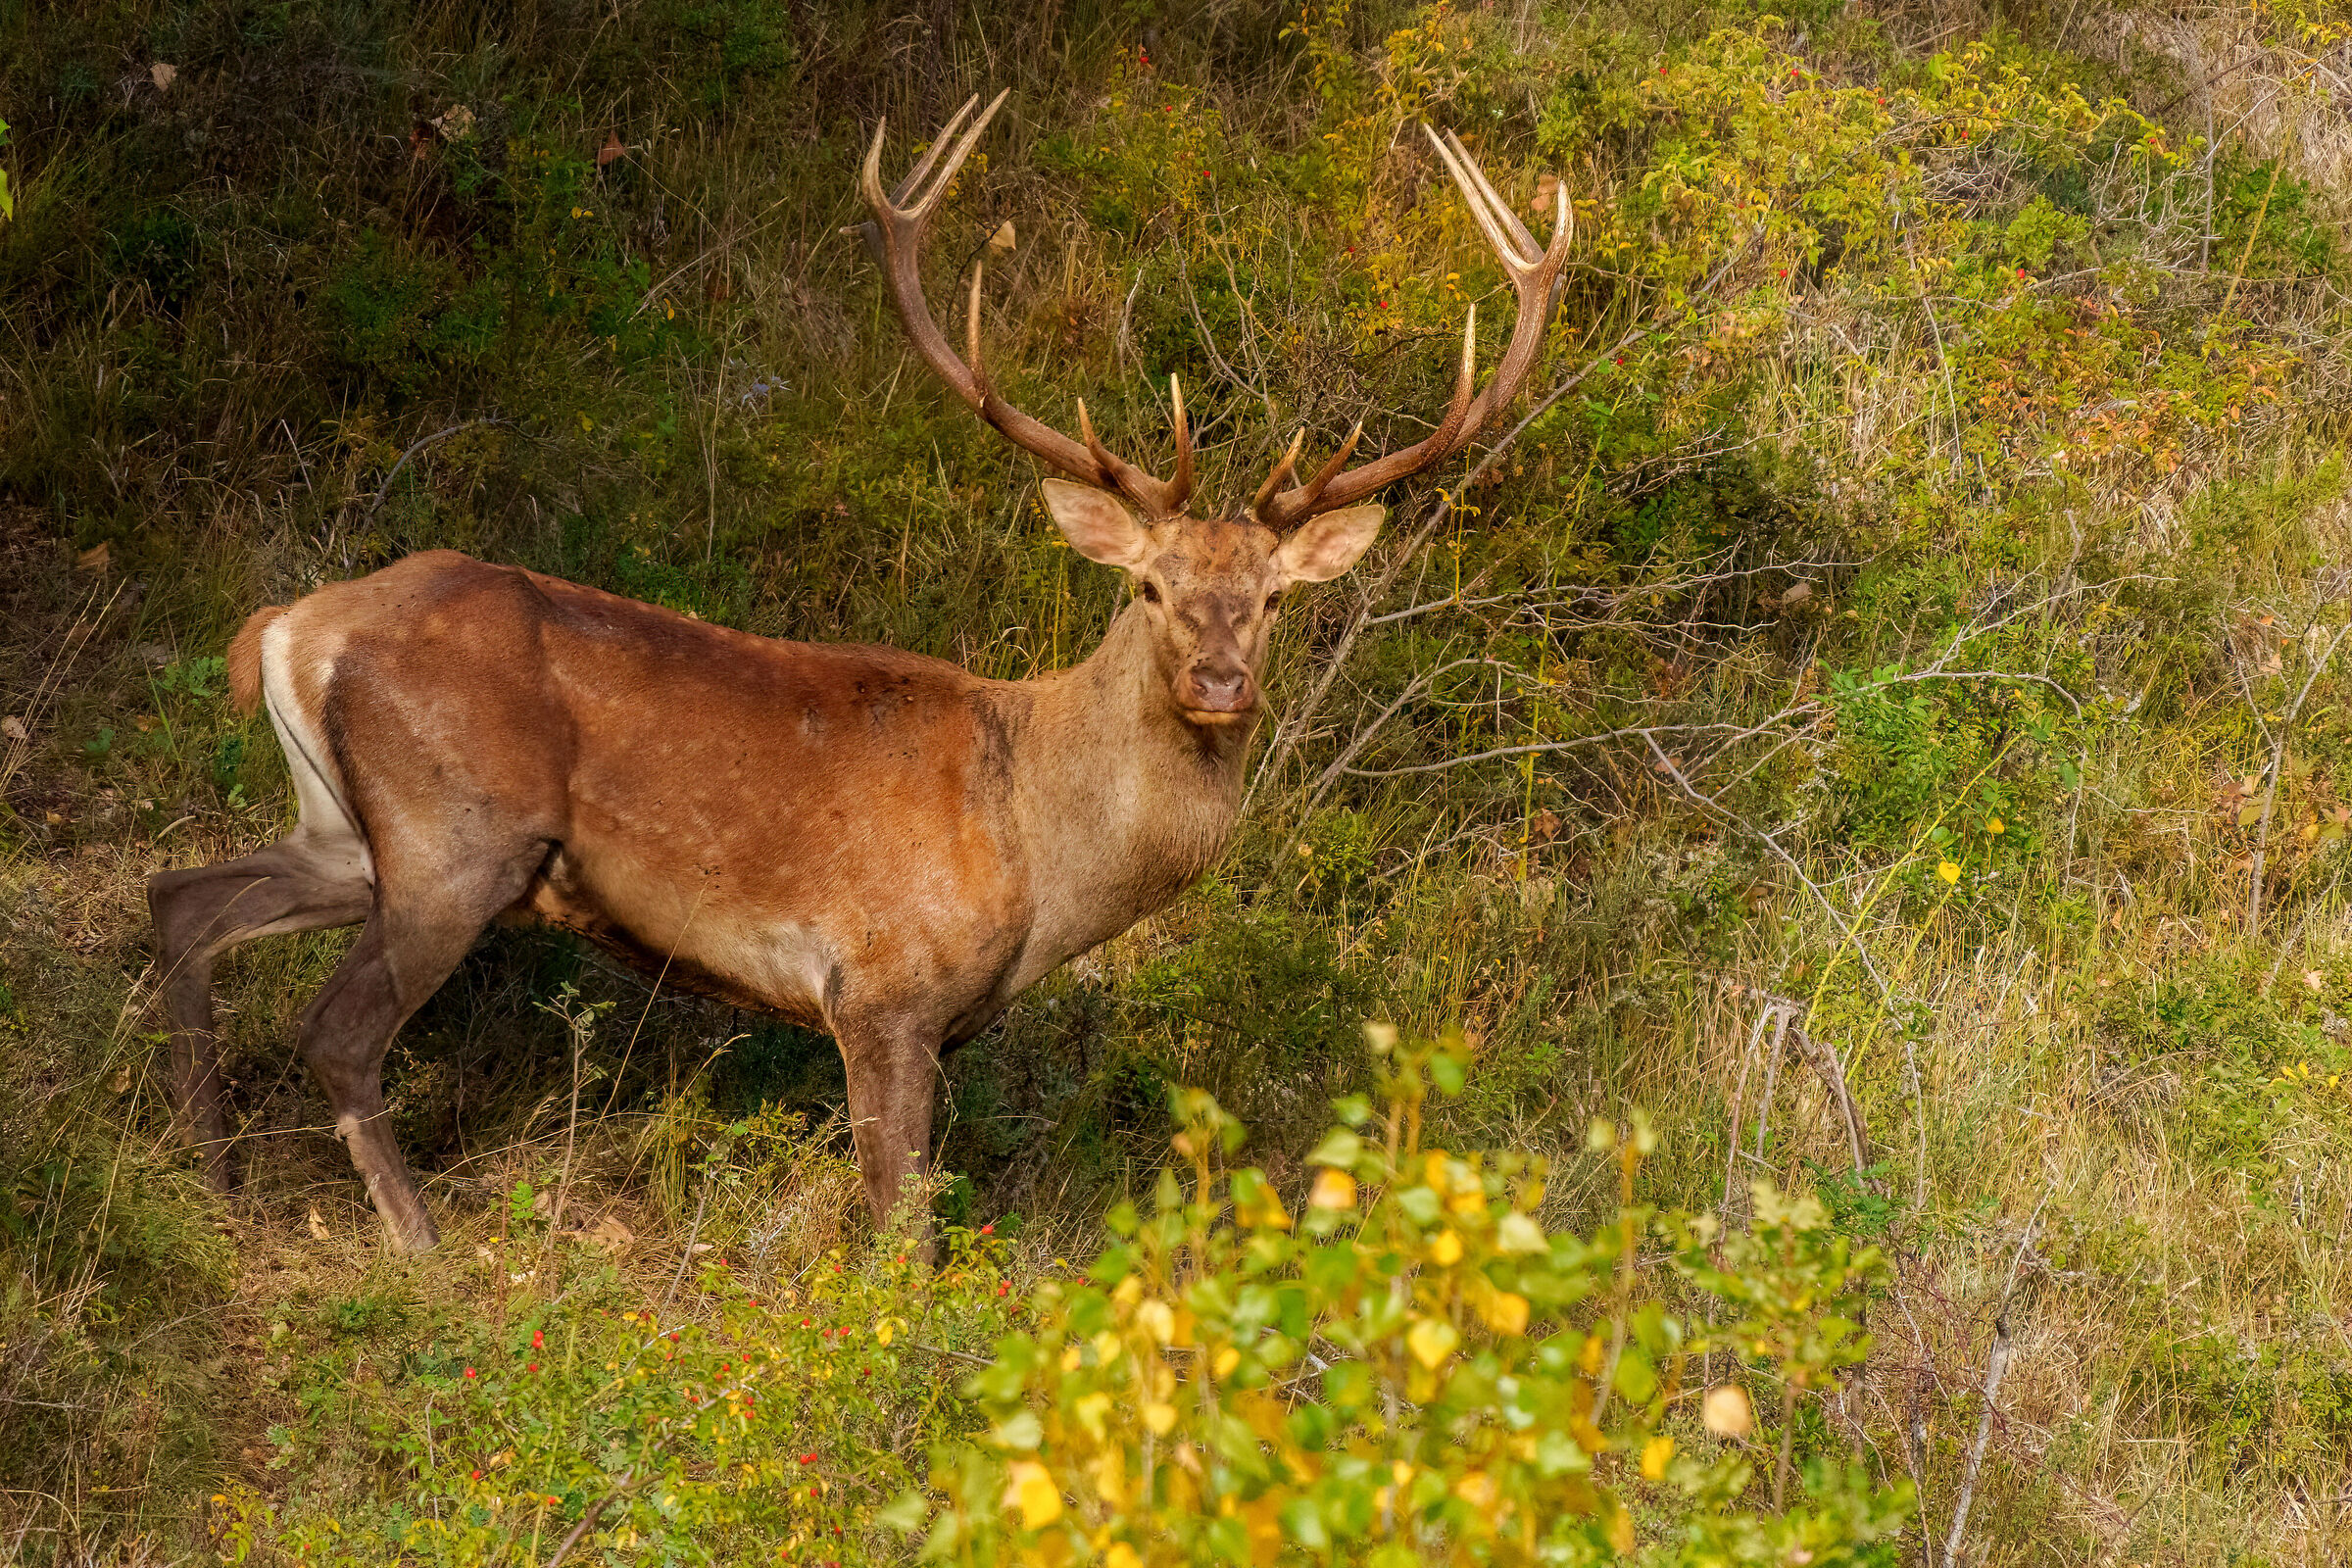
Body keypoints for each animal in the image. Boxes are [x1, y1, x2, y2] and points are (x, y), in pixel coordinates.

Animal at [143, 93, 1570, 1253]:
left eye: (1273, 600)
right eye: (1151, 587)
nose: (1220, 682)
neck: (1039, 851)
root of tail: (288, 624)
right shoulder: (881, 990)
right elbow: (898, 1229)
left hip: (352, 829)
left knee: (185, 896)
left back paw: (213, 1179)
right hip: (458, 833)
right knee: (332, 1029)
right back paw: (418, 1242)